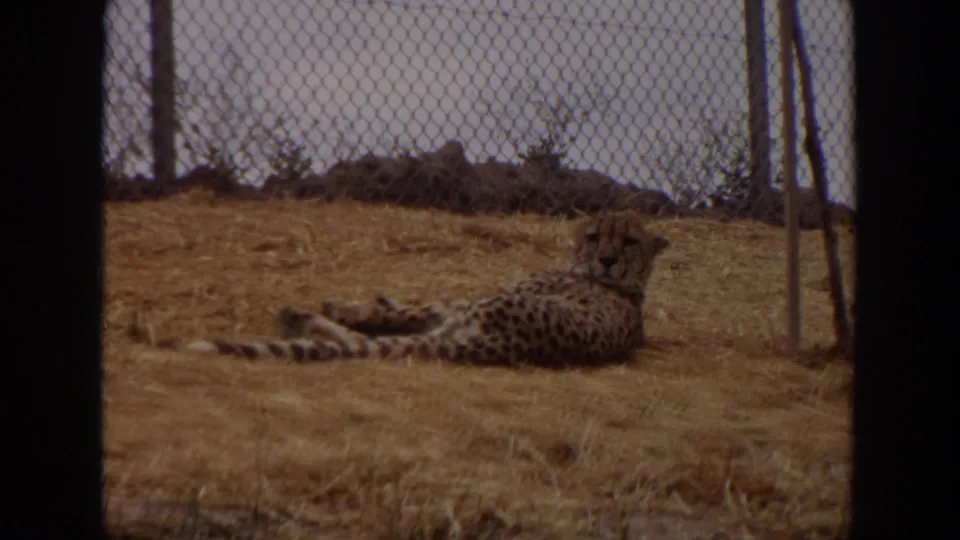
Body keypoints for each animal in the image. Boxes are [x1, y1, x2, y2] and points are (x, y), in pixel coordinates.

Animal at [139, 211, 670, 368]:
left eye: (630, 240)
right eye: (595, 235)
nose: (607, 260)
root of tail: (514, 345)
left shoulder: (465, 302)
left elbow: (407, 309)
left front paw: (354, 303)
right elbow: (409, 306)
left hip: (478, 312)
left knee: (370, 338)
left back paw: (303, 316)